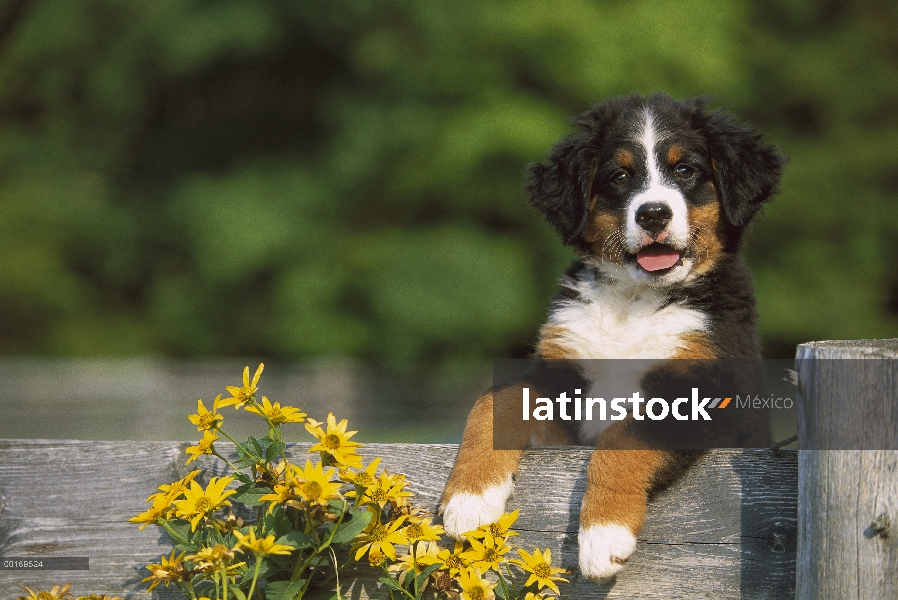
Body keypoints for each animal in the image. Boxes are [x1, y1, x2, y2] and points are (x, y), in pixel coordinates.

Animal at [438, 92, 780, 580]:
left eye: (685, 170)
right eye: (620, 176)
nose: (653, 213)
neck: (634, 302)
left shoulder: (708, 393)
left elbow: (624, 436)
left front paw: (602, 534)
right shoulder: (559, 378)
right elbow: (495, 401)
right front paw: (470, 499)